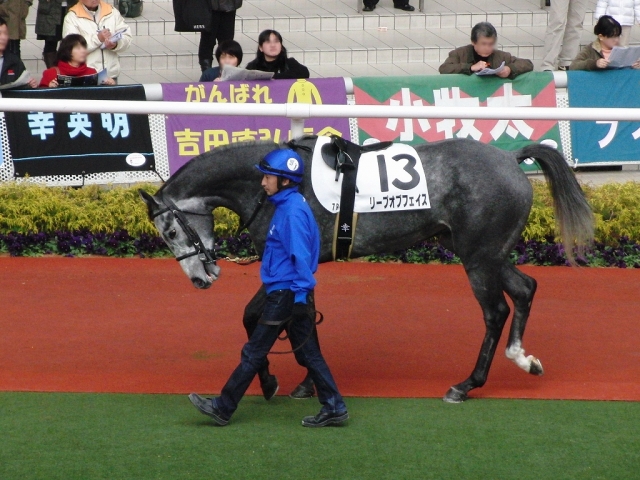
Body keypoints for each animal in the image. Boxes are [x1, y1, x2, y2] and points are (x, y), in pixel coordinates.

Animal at [141, 135, 596, 402]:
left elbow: (257, 317)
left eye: (170, 232)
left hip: (479, 256)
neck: (276, 185)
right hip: (484, 251)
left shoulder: (292, 262)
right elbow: (293, 319)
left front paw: (273, 379)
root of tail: (510, 157)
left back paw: (467, 384)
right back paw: (523, 359)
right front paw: (304, 381)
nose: (201, 279)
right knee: (525, 288)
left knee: (496, 310)